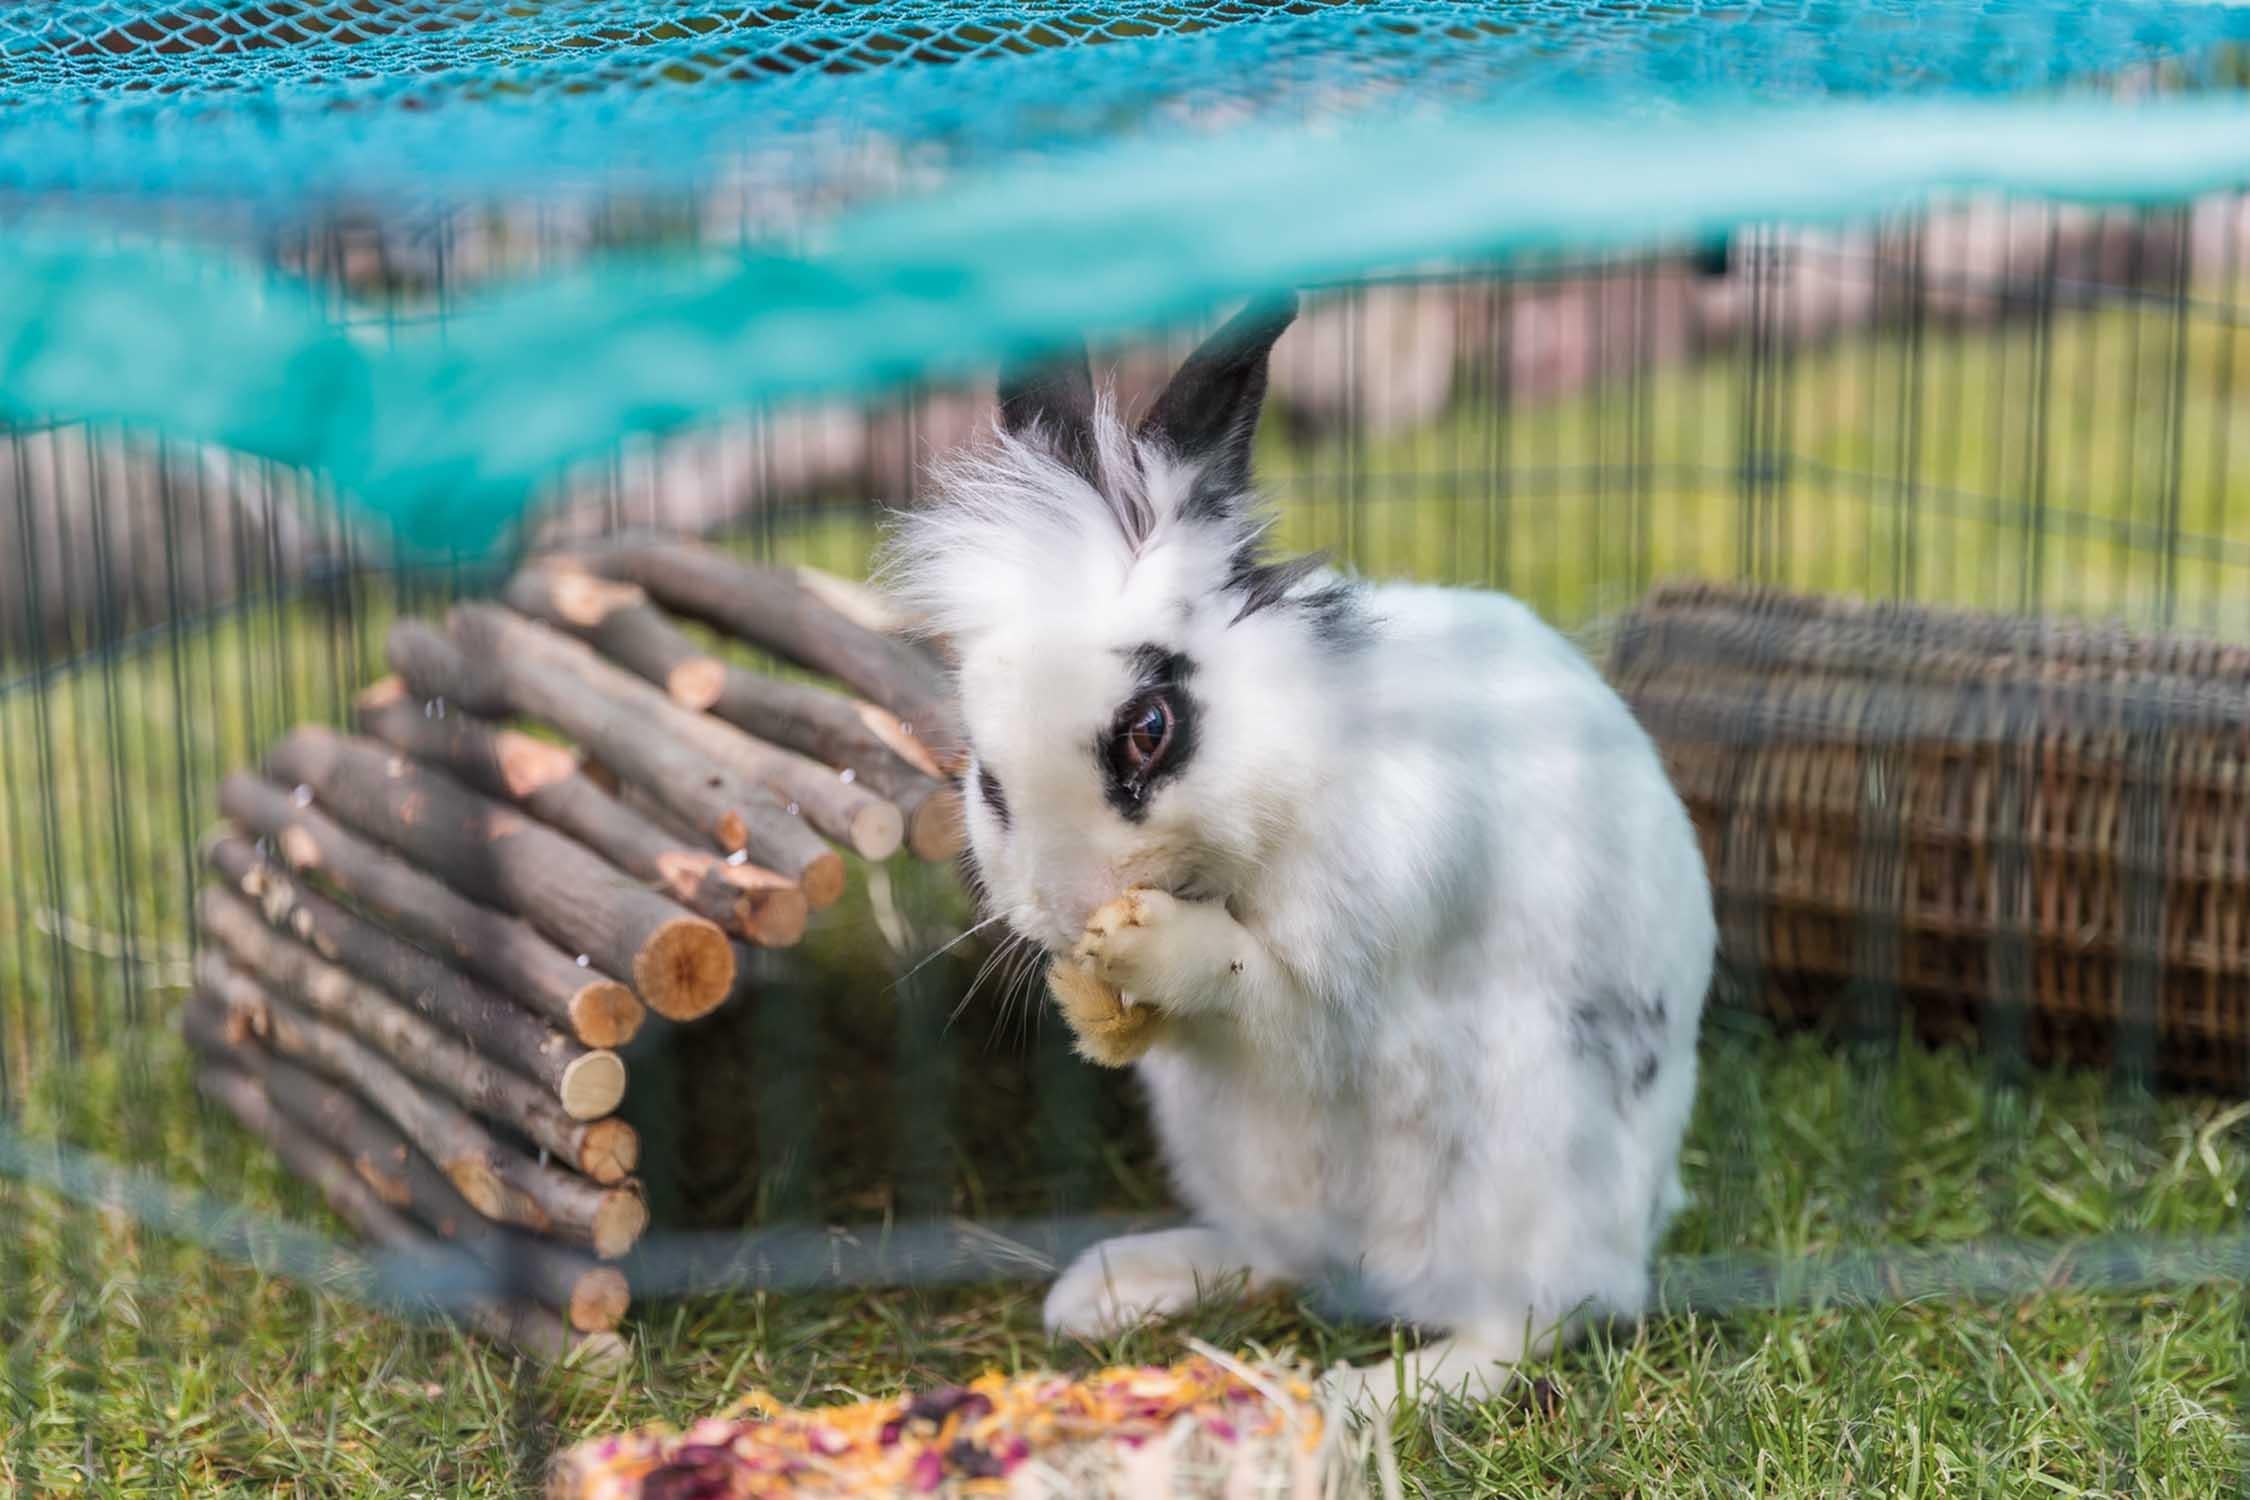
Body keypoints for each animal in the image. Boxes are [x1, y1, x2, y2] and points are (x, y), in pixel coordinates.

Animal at [868, 299, 1710, 1412]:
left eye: (1148, 730)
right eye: (987, 779)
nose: (1069, 904)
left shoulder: (1350, 968)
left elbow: (1261, 987)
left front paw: (1153, 946)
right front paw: (1093, 1003)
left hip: (1528, 1169)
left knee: (1531, 1324)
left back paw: (1367, 1394)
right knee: (1280, 1257)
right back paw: (1112, 1292)